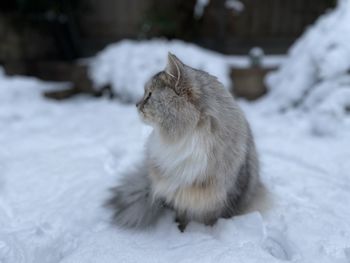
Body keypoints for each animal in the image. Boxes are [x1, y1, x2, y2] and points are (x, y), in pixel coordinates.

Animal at [106, 53, 260, 231]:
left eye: (149, 94)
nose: (136, 104)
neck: (188, 135)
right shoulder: (178, 192)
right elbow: (182, 216)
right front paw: (181, 231)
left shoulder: (223, 196)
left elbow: (213, 219)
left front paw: (208, 233)